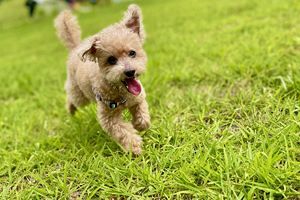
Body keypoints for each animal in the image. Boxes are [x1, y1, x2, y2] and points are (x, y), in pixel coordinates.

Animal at [54, 4, 150, 155]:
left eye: (132, 53)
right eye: (111, 60)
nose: (130, 72)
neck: (121, 93)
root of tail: (75, 48)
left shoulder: (138, 98)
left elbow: (143, 117)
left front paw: (139, 125)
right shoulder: (108, 117)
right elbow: (123, 132)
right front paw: (134, 147)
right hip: (80, 95)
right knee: (72, 98)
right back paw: (71, 109)